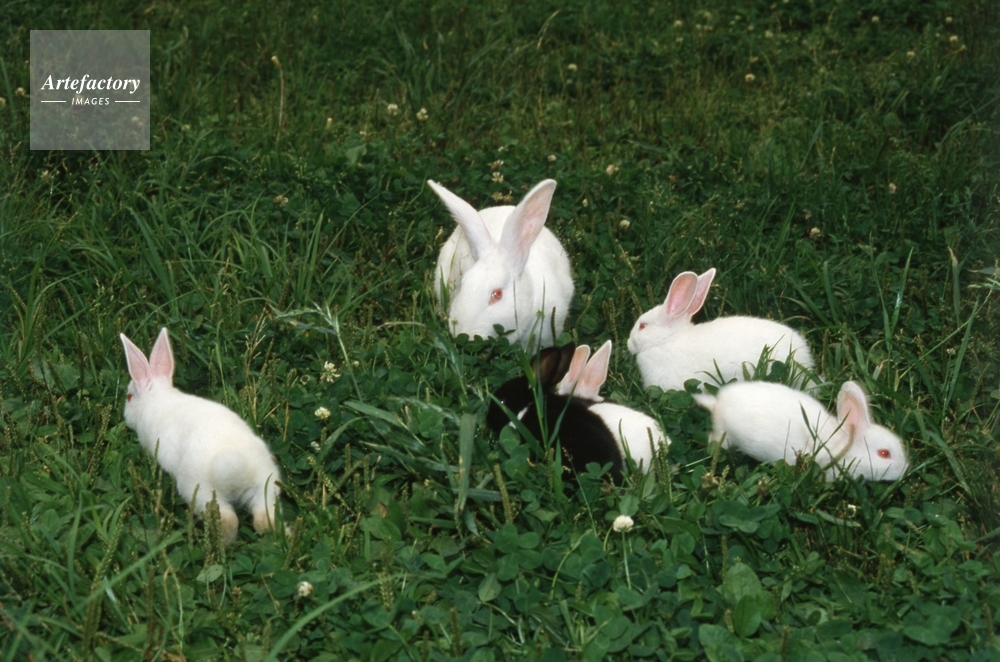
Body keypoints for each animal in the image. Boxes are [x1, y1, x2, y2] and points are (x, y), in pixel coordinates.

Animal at [120, 327, 282, 544]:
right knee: (265, 519)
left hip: (202, 493)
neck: (157, 396)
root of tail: (234, 467)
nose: (125, 415)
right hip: (265, 484)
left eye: (129, 397)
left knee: (228, 521)